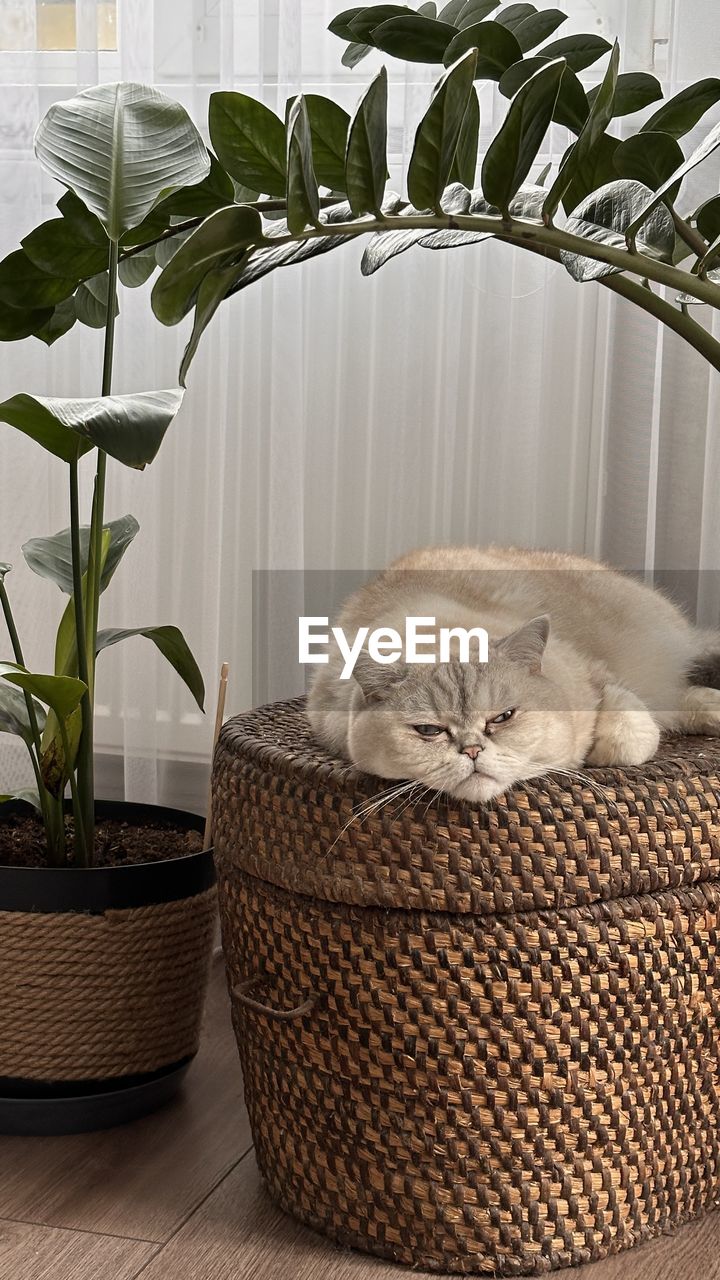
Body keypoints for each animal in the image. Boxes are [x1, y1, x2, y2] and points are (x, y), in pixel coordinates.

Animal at [304, 545, 717, 803]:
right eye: (429, 731)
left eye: (502, 717)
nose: (472, 750)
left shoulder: (599, 676)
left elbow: (628, 736)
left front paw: (596, 752)